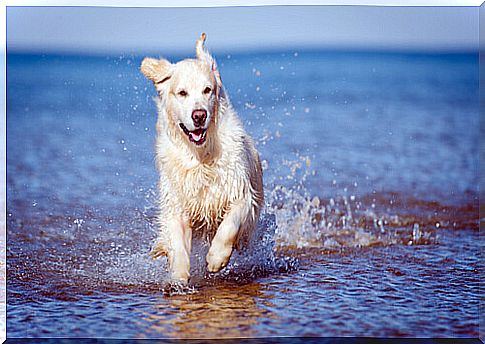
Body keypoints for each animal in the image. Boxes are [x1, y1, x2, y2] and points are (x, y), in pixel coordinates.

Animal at [139, 33, 264, 284]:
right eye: (182, 93)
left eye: (208, 90)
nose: (199, 115)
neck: (201, 157)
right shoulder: (177, 204)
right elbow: (177, 244)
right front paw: (178, 278)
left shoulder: (241, 193)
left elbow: (229, 225)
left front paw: (217, 258)